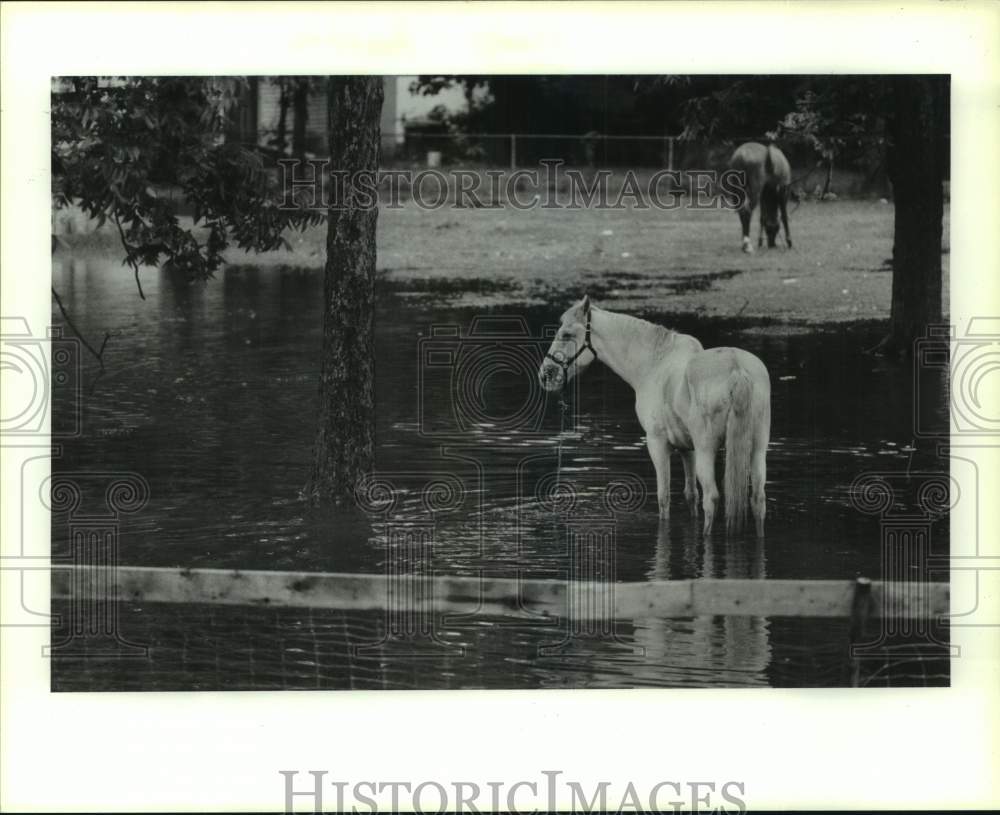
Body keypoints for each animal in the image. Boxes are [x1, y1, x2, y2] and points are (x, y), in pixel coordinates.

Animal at [538, 296, 771, 536]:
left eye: (566, 334)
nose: (545, 375)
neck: (654, 364)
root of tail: (737, 369)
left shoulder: (657, 443)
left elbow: (663, 498)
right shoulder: (687, 448)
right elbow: (690, 495)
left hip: (707, 450)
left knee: (712, 498)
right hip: (757, 449)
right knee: (757, 499)